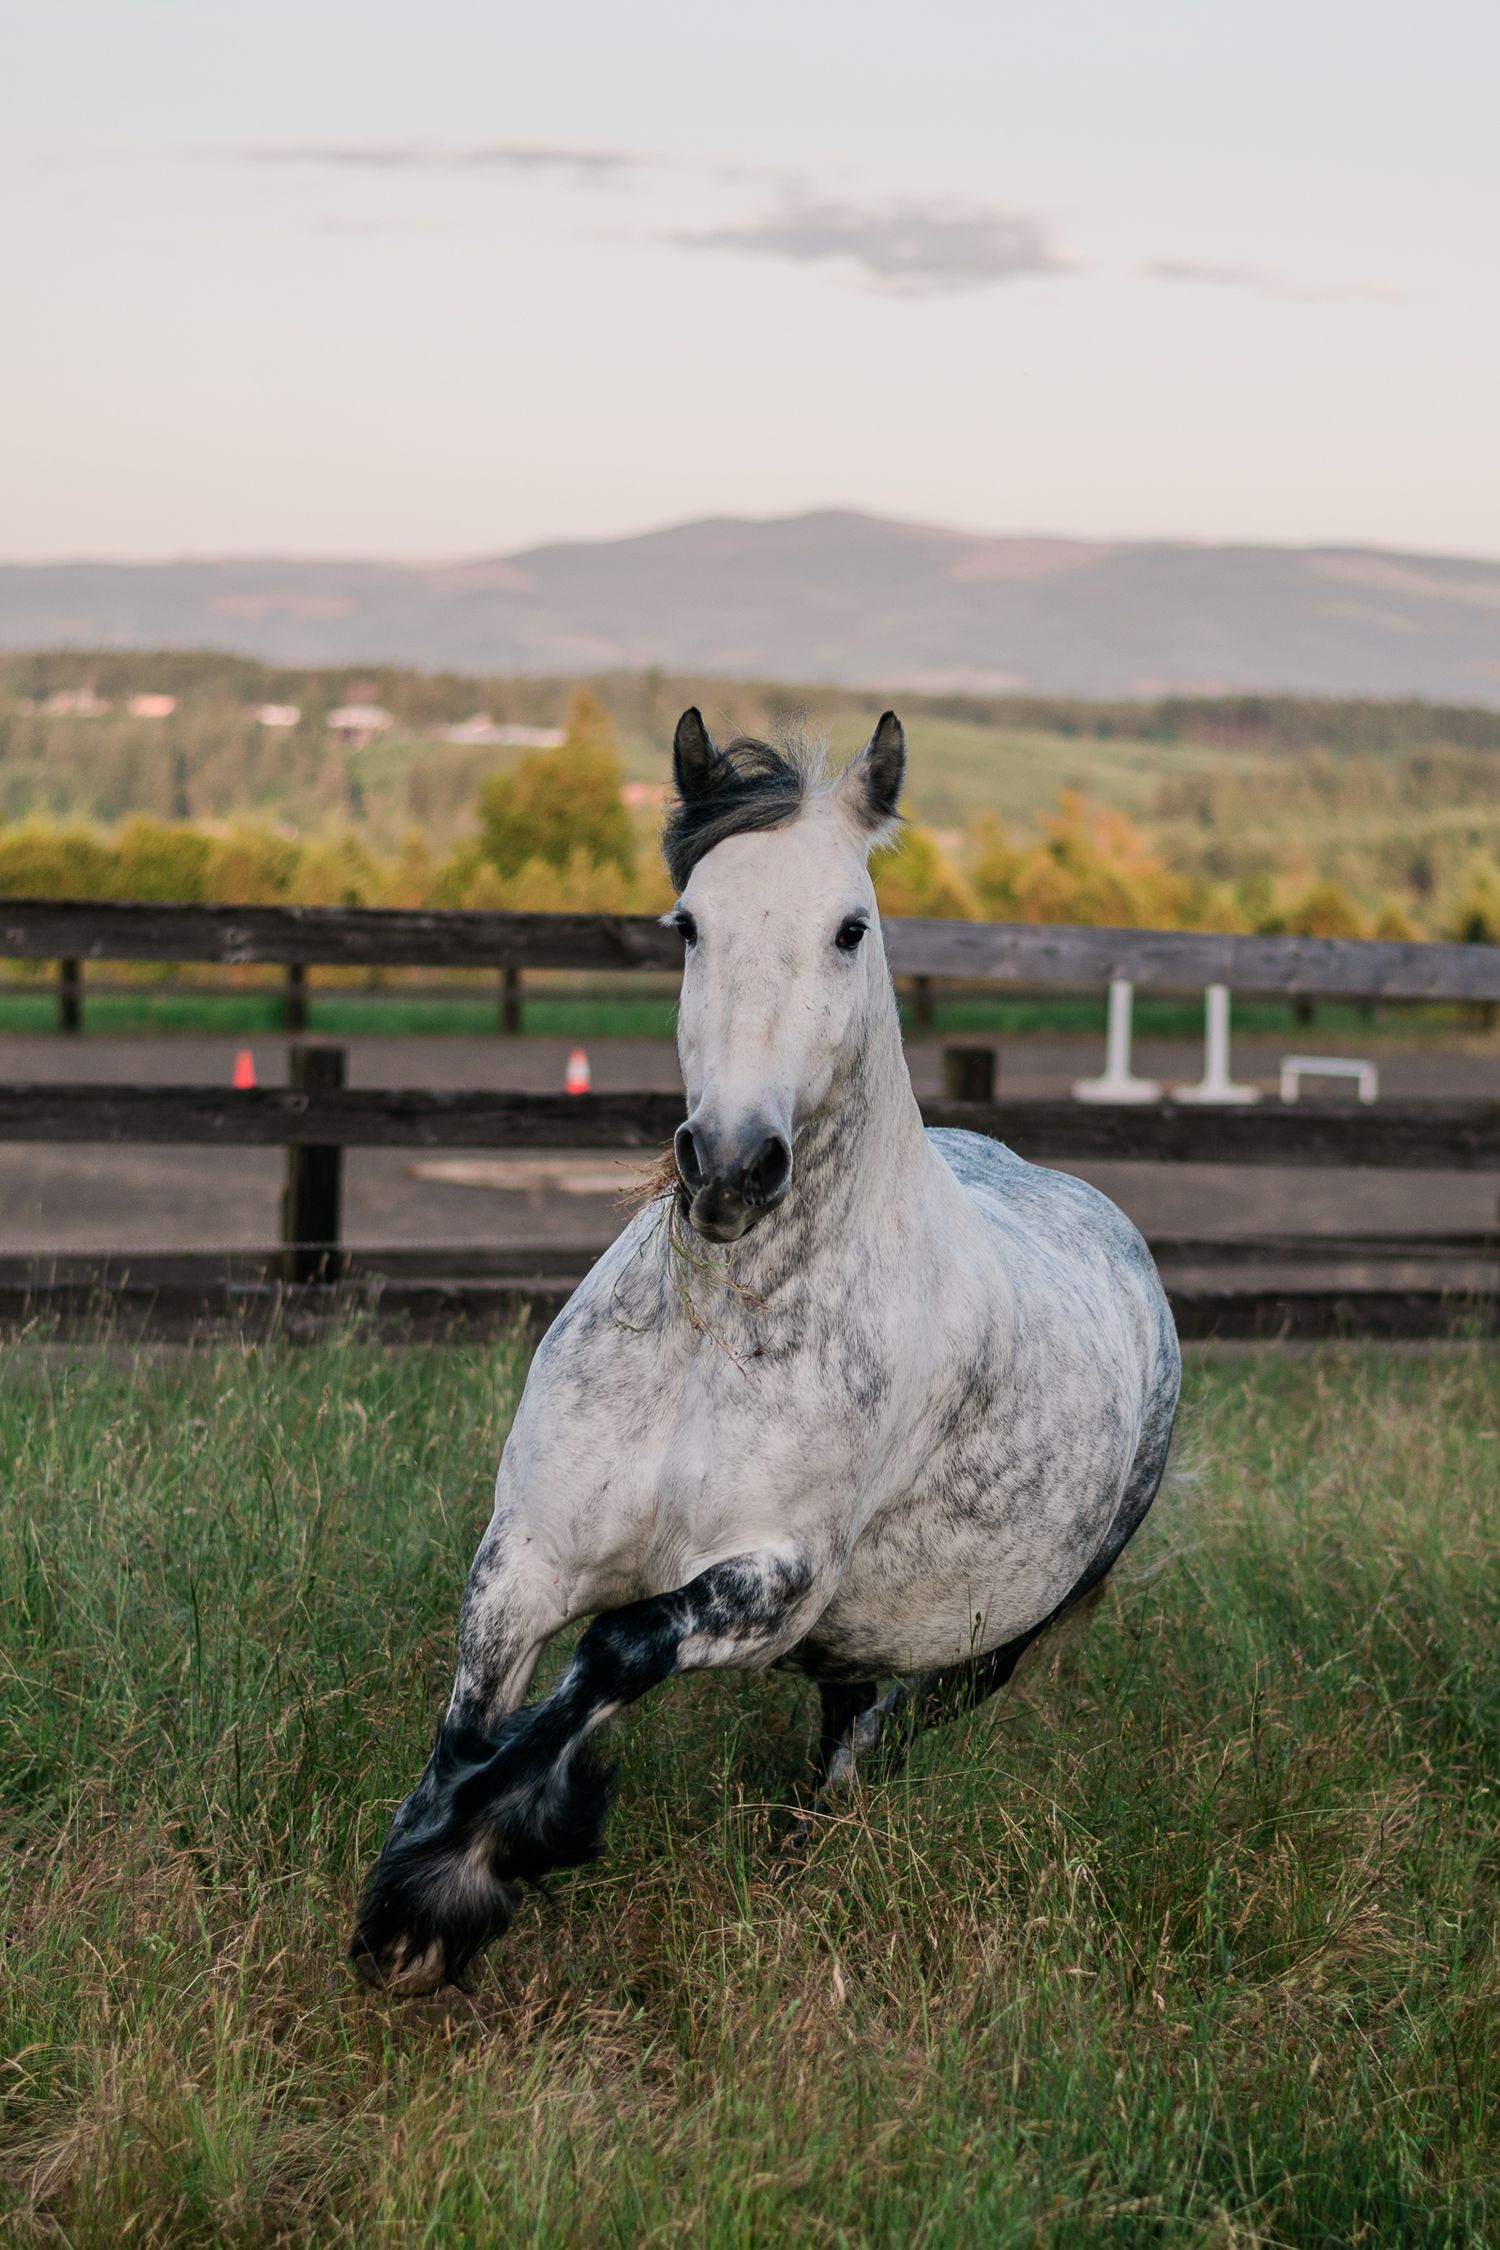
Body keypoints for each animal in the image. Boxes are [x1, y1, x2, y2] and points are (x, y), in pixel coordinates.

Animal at [351, 709, 1182, 1995]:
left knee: (880, 1738)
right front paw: (414, 1894)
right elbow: (473, 1727)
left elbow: (615, 1650)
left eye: (851, 927)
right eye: (689, 922)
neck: (714, 1339)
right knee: (850, 1717)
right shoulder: (527, 1554)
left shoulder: (772, 1580)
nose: (732, 1168)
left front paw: (457, 1885)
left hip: (1002, 1638)